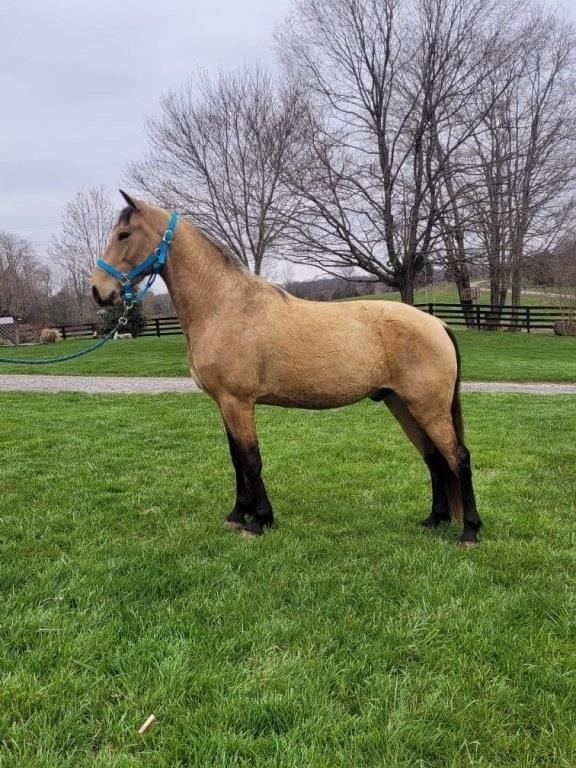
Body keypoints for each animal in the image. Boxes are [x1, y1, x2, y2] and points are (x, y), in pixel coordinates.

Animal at [91, 192, 486, 544]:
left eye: (124, 234)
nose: (98, 291)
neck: (225, 306)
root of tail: (437, 324)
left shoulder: (238, 402)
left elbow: (251, 461)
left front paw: (259, 522)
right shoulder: (224, 403)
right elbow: (236, 460)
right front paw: (238, 515)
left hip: (427, 406)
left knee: (458, 457)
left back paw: (469, 532)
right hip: (401, 403)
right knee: (434, 457)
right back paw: (434, 520)